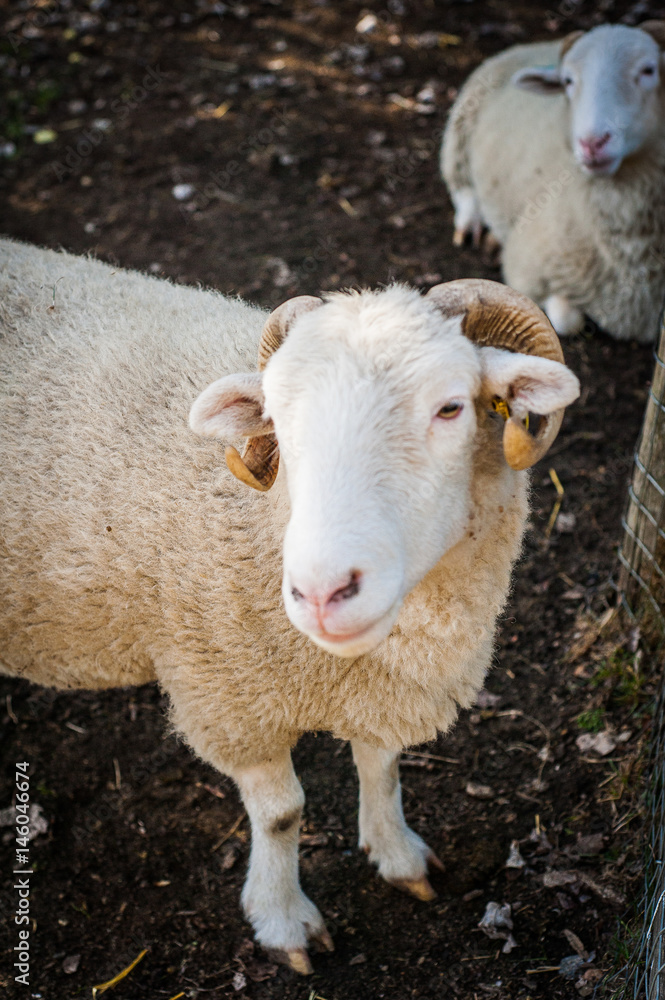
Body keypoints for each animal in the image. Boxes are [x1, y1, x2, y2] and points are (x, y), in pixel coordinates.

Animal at [0, 238, 580, 972]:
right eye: (275, 420)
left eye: (451, 408)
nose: (321, 592)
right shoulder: (229, 694)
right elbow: (281, 812)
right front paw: (283, 922)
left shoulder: (376, 685)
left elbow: (381, 765)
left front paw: (398, 856)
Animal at [440, 20, 664, 344]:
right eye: (568, 81)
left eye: (649, 70)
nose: (592, 143)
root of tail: (538, 43)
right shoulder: (526, 266)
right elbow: (565, 319)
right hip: (460, 128)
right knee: (462, 187)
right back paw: (473, 227)